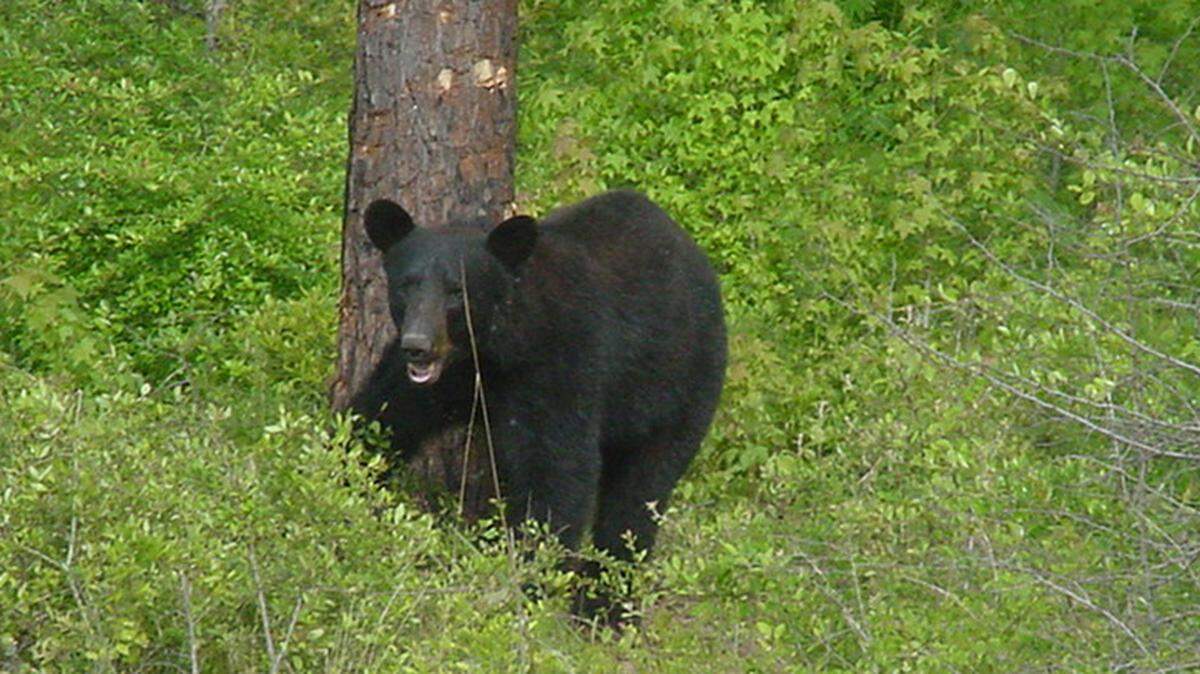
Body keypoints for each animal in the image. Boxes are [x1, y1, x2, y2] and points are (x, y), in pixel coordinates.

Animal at [350, 189, 727, 623]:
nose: (418, 345)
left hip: (679, 388)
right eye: (406, 285)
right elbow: (381, 417)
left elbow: (556, 473)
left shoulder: (561, 364)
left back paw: (605, 607)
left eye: (457, 290)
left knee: (639, 495)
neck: (492, 352)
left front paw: (528, 586)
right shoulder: (438, 380)